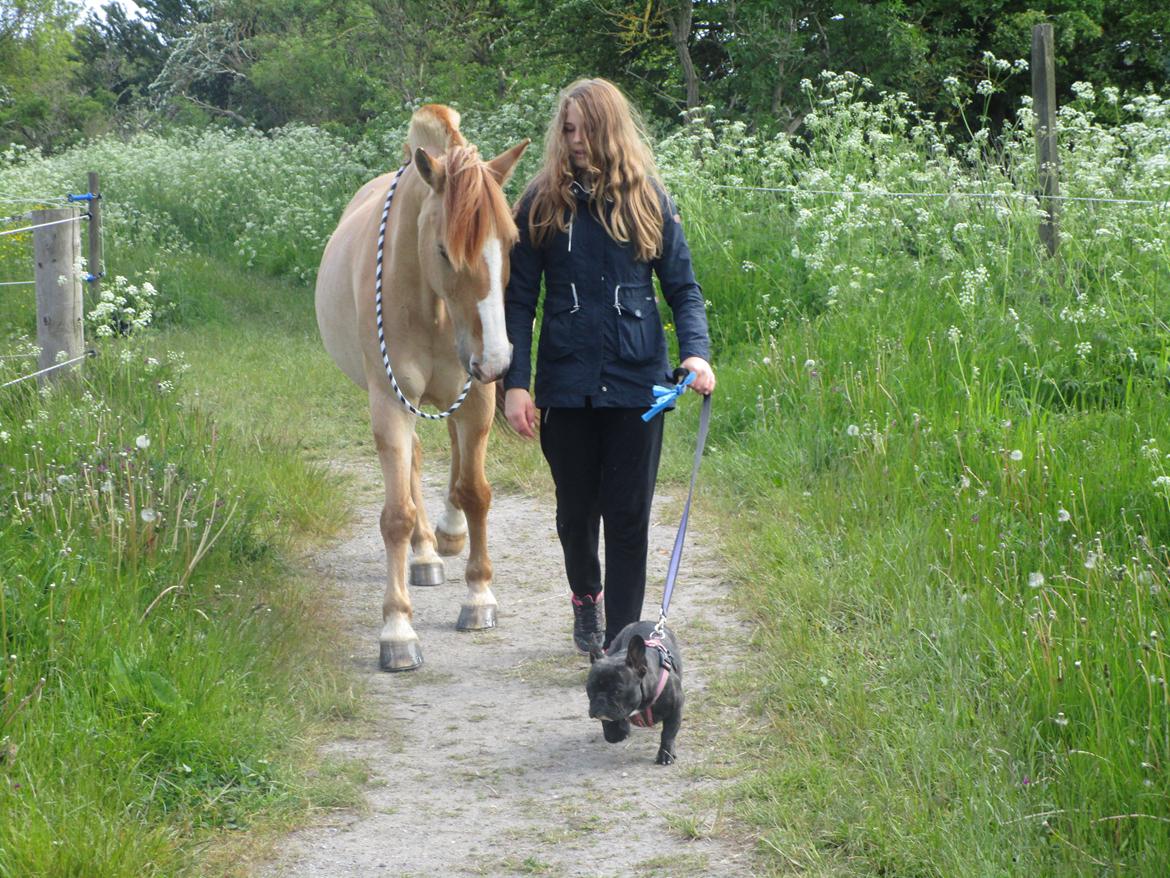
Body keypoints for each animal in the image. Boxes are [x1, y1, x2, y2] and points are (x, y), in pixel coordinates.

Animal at [315, 106, 526, 669]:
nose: (498, 359)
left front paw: (479, 598)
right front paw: (397, 631)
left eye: (511, 243)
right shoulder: (391, 402)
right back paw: (427, 553)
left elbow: (475, 492)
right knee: (411, 469)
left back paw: (448, 537)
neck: (431, 305)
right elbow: (396, 516)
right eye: (443, 251)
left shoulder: (477, 397)